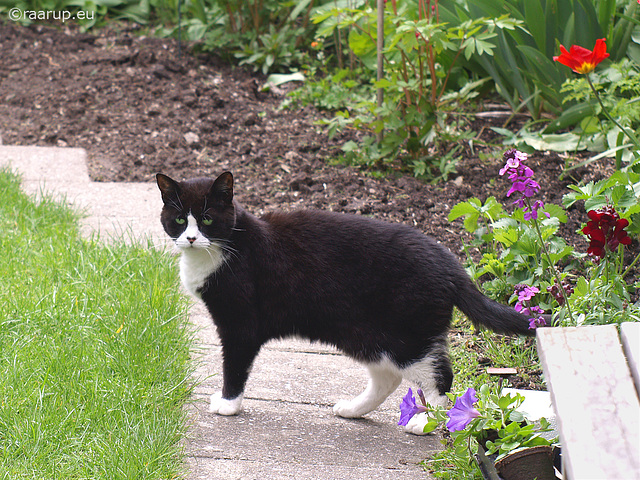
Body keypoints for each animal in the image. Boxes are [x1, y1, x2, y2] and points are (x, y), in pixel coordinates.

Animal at [156, 171, 536, 434]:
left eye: (207, 218)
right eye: (179, 219)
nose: (191, 238)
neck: (221, 250)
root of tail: (450, 263)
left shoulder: (240, 325)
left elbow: (234, 367)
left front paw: (228, 405)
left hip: (408, 337)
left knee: (439, 374)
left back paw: (427, 423)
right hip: (366, 334)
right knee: (388, 378)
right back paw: (353, 409)